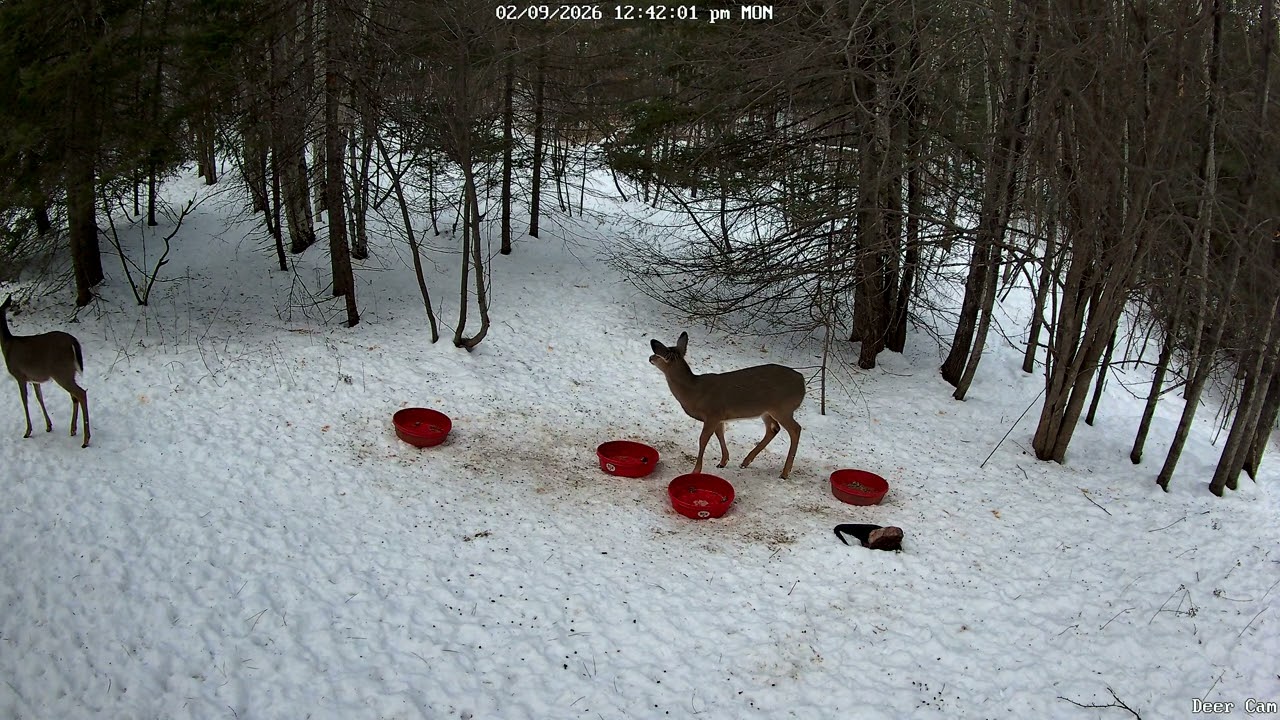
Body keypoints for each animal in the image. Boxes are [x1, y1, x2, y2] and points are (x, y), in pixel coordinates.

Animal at [0, 295, 90, 448]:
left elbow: (24, 400)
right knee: (74, 397)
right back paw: (73, 430)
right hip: (69, 372)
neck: (7, 345)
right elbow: (39, 397)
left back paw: (85, 440)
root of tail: (73, 342)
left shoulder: (19, 375)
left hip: (62, 372)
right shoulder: (34, 379)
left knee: (81, 393)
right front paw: (48, 426)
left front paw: (28, 431)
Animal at [649, 331, 804, 479]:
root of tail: (802, 382)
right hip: (766, 411)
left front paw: (696, 470)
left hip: (783, 408)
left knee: (795, 429)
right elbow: (720, 434)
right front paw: (722, 462)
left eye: (658, 355)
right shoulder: (719, 416)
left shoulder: (712, 413)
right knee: (773, 428)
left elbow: (703, 440)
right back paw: (745, 462)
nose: (650, 358)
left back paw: (785, 473)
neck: (694, 392)